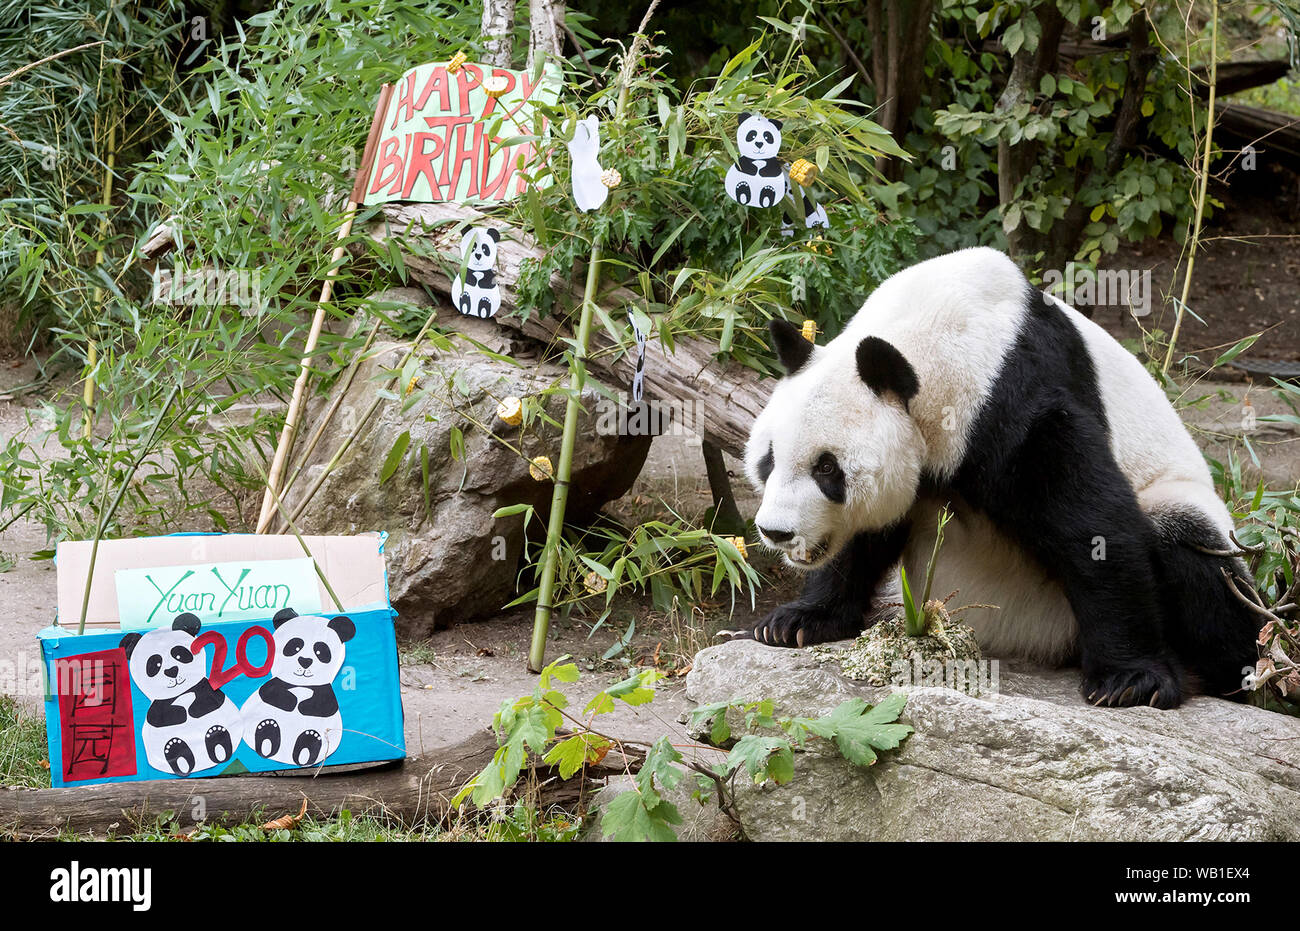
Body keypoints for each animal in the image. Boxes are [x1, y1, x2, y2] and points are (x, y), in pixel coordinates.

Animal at [122, 613, 244, 774]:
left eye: (179, 655)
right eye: (155, 664)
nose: (171, 671)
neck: (181, 694)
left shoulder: (204, 688)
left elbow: (208, 701)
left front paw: (193, 710)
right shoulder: (159, 706)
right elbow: (161, 715)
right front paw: (180, 713)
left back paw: (216, 740)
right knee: (177, 755)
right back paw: (176, 749)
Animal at [239, 608, 356, 769]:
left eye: (320, 651)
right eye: (295, 647)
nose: (305, 661)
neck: (302, 685)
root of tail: (282, 757)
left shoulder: (324, 691)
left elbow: (325, 705)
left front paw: (301, 706)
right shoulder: (276, 683)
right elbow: (271, 693)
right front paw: (293, 702)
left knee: (311, 745)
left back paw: (307, 742)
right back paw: (267, 732)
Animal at [743, 243, 1258, 707]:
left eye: (827, 467)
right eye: (769, 460)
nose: (776, 532)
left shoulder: (1011, 403)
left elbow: (1094, 527)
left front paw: (1131, 681)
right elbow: (866, 536)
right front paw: (796, 622)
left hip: (1176, 498)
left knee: (1193, 551)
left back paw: (1229, 674)